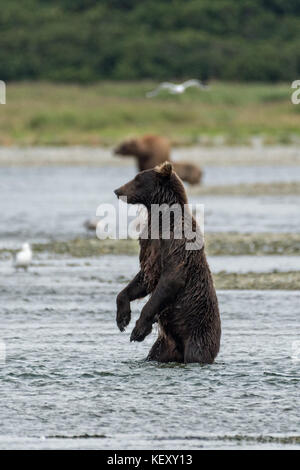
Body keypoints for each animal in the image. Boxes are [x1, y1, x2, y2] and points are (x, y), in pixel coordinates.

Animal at [114, 162, 220, 364]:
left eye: (137, 179)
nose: (117, 190)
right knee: (156, 353)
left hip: (198, 332)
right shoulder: (150, 246)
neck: (161, 220)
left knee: (197, 352)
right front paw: (122, 318)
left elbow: (170, 279)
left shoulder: (176, 244)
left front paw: (138, 329)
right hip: (165, 344)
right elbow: (142, 279)